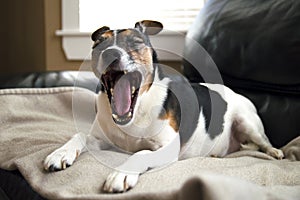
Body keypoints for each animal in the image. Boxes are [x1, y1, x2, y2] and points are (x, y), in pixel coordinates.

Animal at [42, 19, 284, 192]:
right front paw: (60, 153)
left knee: (263, 141)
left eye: (135, 42)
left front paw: (122, 173)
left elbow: (141, 153)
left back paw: (275, 151)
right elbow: (80, 135)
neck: (137, 110)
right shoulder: (103, 140)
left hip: (247, 122)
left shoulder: (167, 148)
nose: (110, 53)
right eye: (100, 44)